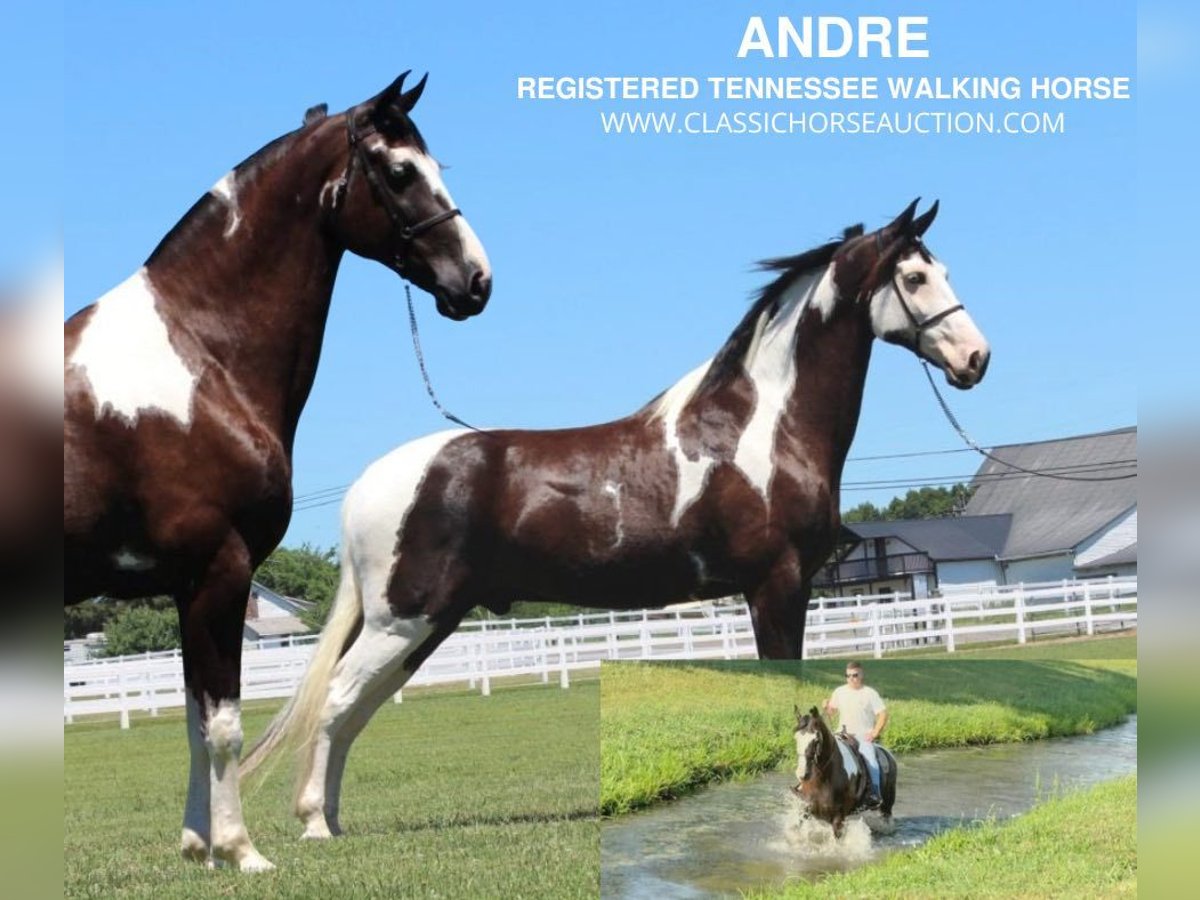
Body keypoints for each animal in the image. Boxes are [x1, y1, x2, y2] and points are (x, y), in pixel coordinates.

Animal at [63, 75, 494, 873]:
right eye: (399, 172)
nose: (477, 281)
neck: (201, 356)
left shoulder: (188, 584)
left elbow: (196, 720)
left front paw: (199, 845)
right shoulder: (220, 568)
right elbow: (226, 724)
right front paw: (241, 850)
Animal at [792, 705, 897, 840]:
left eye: (815, 740)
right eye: (796, 738)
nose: (802, 773)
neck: (824, 778)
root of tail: (888, 754)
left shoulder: (838, 817)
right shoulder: (806, 809)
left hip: (887, 807)